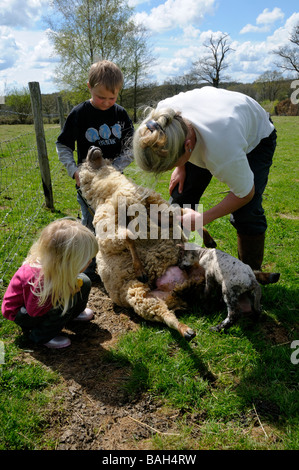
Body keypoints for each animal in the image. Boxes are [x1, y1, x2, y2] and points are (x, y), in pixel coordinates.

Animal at [79, 145, 216, 340]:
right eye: (82, 162)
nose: (93, 147)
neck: (113, 189)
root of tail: (178, 288)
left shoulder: (157, 206)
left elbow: (182, 212)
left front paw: (208, 238)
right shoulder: (108, 230)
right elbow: (128, 237)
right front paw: (140, 269)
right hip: (141, 296)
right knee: (165, 315)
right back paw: (186, 331)